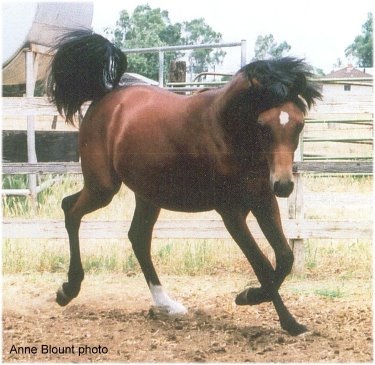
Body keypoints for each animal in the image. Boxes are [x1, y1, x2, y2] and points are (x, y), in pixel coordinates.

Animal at [47, 30, 322, 336]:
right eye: (263, 126)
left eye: (299, 124)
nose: (284, 185)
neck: (225, 131)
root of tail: (106, 96)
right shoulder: (231, 212)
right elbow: (261, 263)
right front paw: (285, 320)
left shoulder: (263, 198)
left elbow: (285, 258)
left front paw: (251, 298)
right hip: (103, 187)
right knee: (71, 211)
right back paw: (68, 290)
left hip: (147, 194)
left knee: (137, 237)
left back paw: (166, 304)